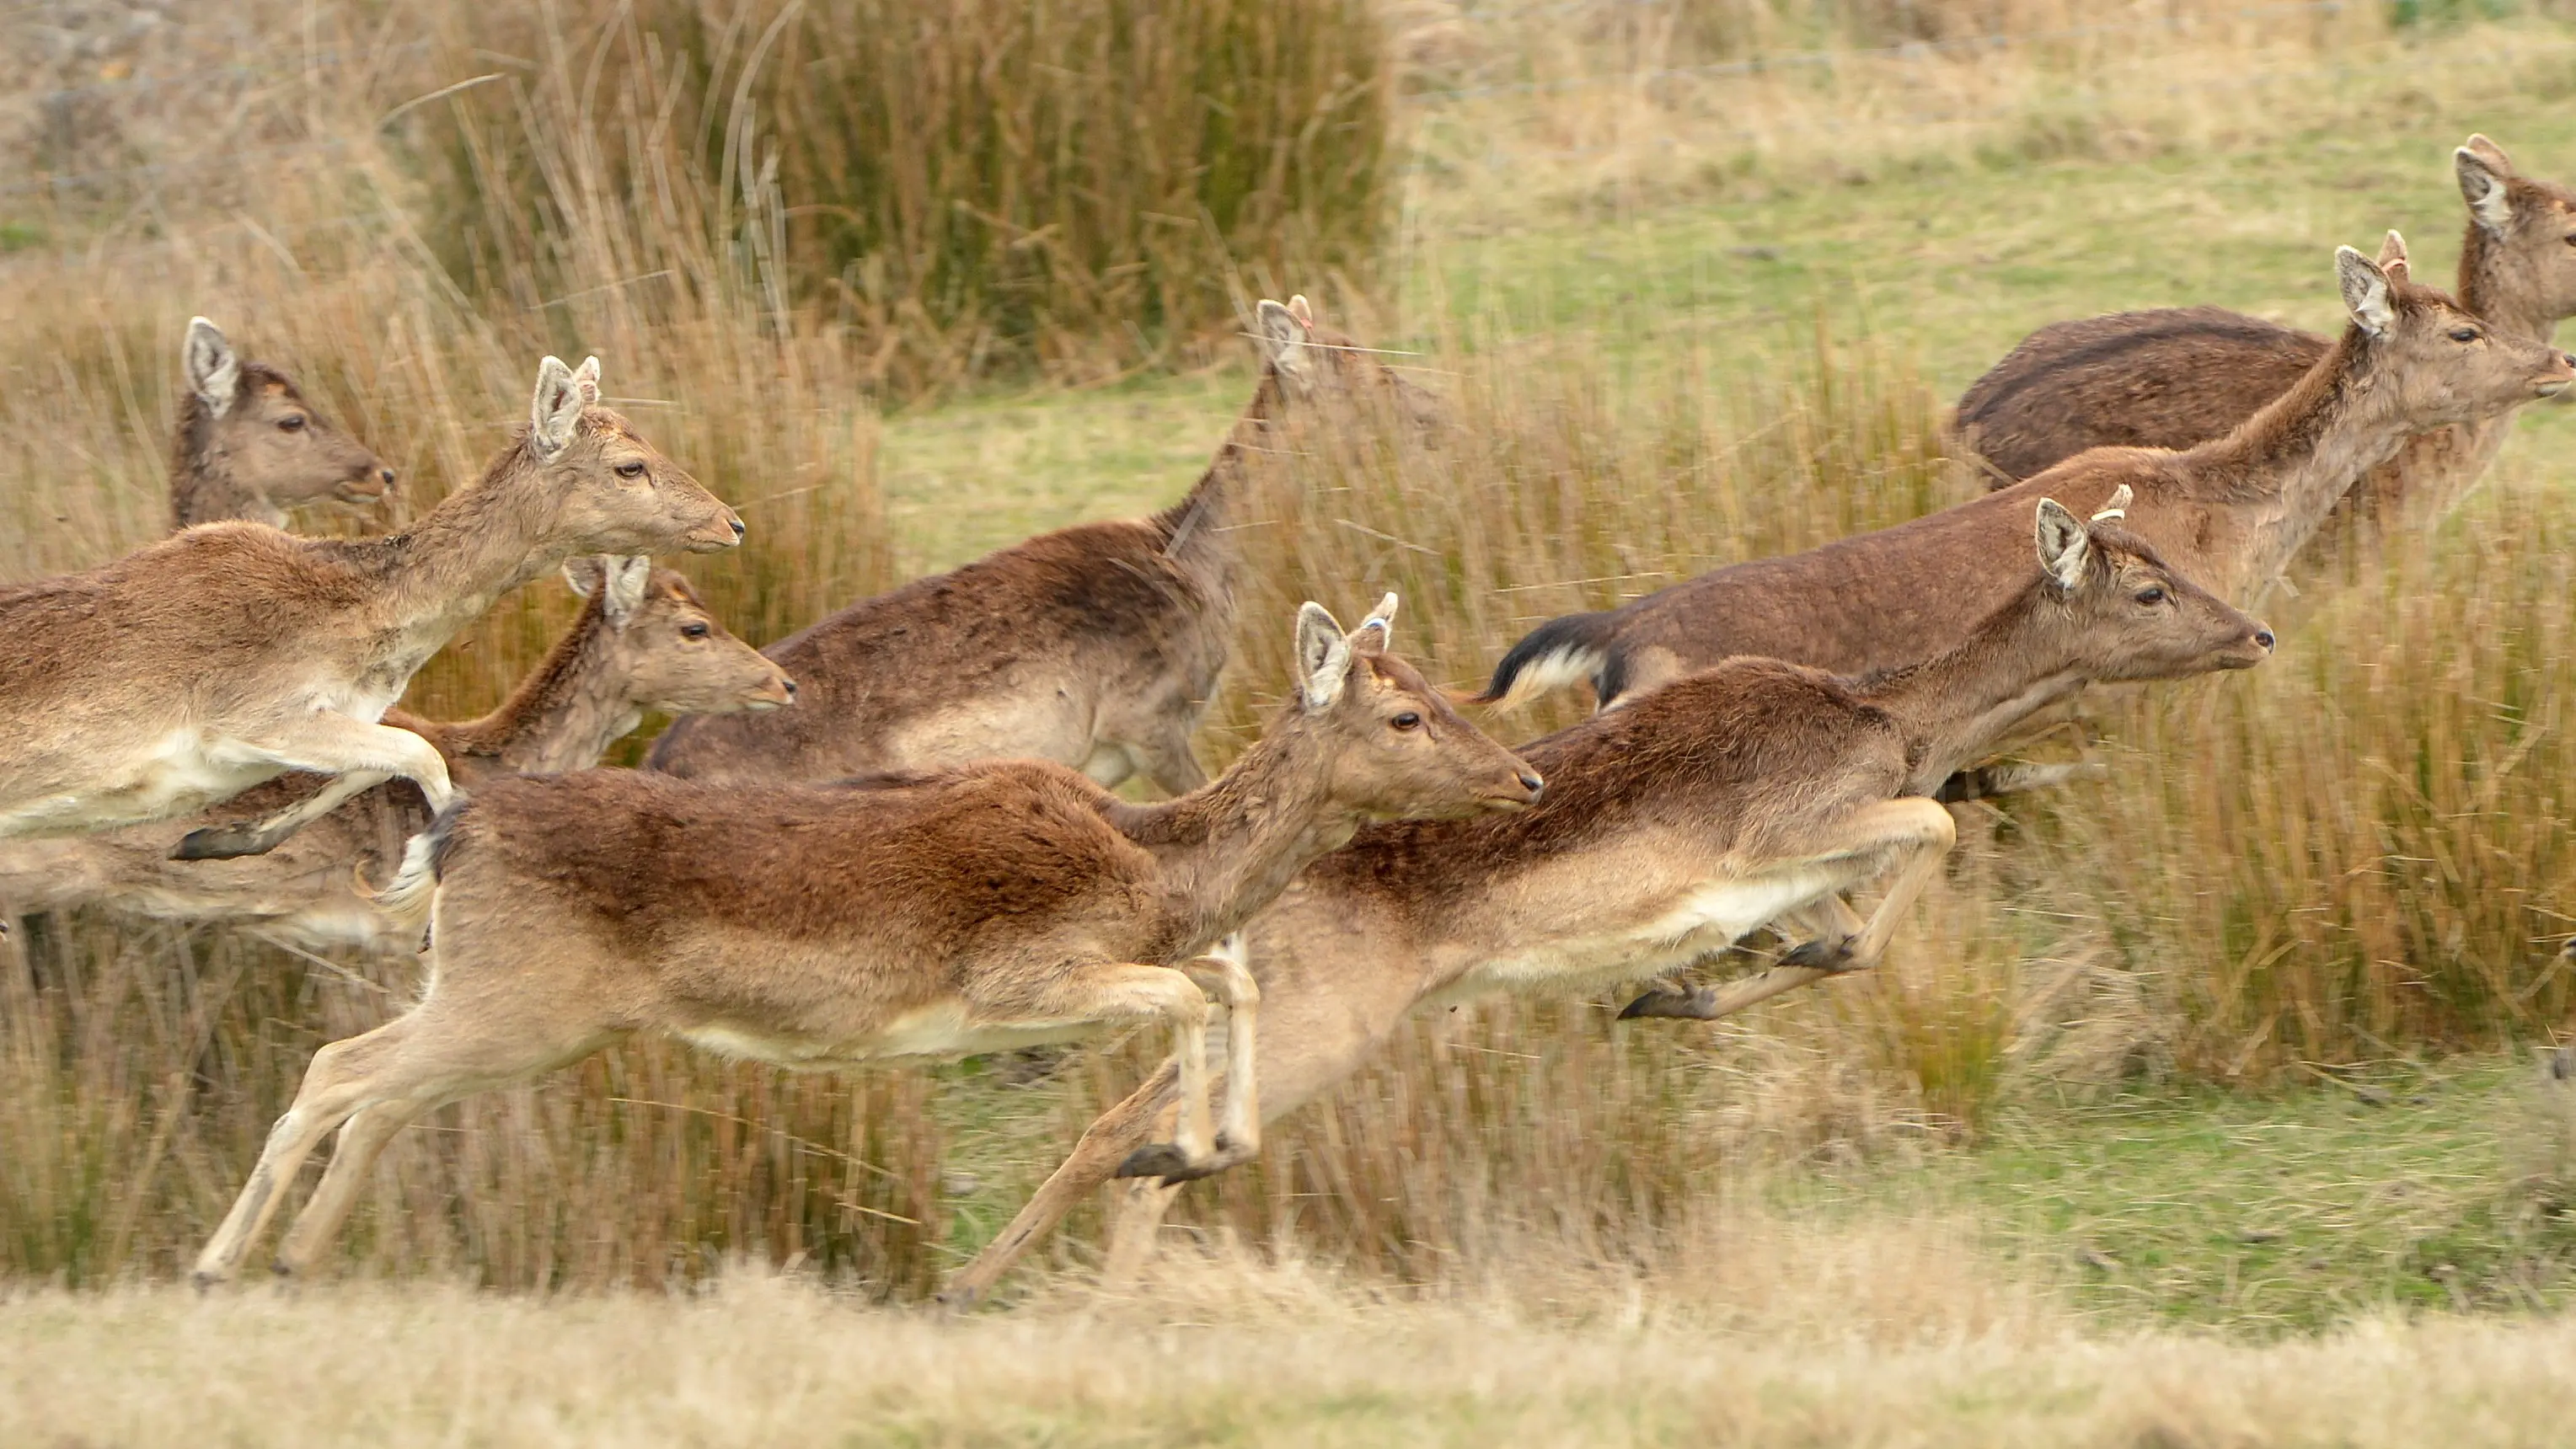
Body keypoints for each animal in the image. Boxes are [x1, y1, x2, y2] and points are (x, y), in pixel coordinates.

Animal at [0, 354, 745, 855]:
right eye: (629, 465)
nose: (732, 523)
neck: (363, 624)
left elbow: (393, 756)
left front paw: (216, 839)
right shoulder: (248, 716)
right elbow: (427, 758)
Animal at [188, 596, 1545, 1289]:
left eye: (1438, 685)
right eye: (1405, 716)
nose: (1527, 778)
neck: (1151, 867)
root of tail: (458, 822)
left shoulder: (1153, 950)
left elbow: (1231, 980)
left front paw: (1203, 1148)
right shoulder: (1015, 977)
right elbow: (1188, 998)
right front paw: (1181, 1150)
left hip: (502, 1003)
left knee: (367, 1086)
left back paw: (289, 1258)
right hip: (518, 999)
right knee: (347, 1074)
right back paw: (220, 1265)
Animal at [940, 495, 2275, 1308]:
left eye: (2172, 567)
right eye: (2146, 592)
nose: (2257, 632)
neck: (1896, 722)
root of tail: (1237, 874)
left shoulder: (1792, 879)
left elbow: (1835, 933)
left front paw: (1676, 993)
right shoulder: (1785, 829)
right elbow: (1932, 831)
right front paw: (1691, 987)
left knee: (1125, 1123)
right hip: (1333, 1012)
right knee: (1124, 1126)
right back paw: (1003, 1284)